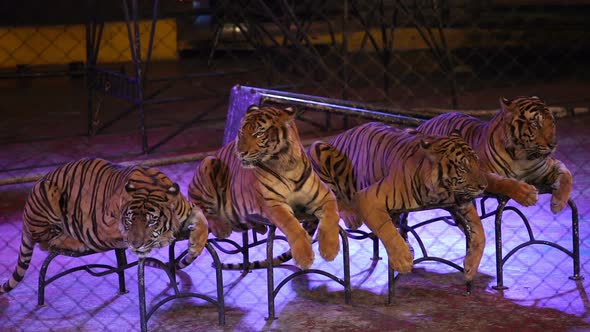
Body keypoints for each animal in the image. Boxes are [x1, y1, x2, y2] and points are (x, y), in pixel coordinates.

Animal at [0, 158, 209, 294]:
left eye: (151, 221)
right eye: (130, 220)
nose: (136, 245)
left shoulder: (190, 208)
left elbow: (203, 220)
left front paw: (194, 247)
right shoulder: (101, 229)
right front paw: (164, 239)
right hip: (47, 191)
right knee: (45, 242)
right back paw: (73, 242)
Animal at [185, 105, 342, 272]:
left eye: (259, 134)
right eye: (241, 132)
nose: (240, 152)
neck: (286, 165)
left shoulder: (325, 195)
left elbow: (332, 216)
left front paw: (330, 249)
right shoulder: (273, 204)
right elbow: (292, 225)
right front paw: (304, 257)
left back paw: (259, 228)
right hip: (209, 161)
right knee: (201, 209)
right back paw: (220, 229)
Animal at [310, 123, 490, 282]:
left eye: (477, 162)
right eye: (463, 168)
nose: (484, 186)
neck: (439, 191)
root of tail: (338, 136)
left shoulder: (462, 203)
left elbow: (481, 233)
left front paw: (471, 267)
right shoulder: (368, 198)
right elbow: (387, 230)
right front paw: (403, 261)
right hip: (318, 147)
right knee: (333, 198)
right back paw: (352, 217)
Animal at [418, 95, 572, 213]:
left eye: (552, 123)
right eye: (535, 125)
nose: (553, 144)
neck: (522, 157)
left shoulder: (550, 165)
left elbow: (567, 174)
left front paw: (559, 202)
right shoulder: (481, 172)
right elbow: (503, 181)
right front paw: (526, 194)